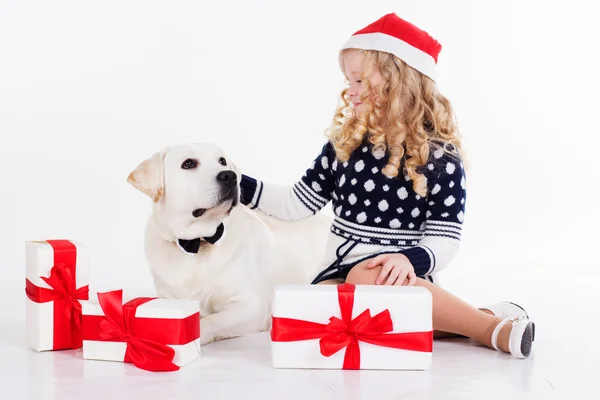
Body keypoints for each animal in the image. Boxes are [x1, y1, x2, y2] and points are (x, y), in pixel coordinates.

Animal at [128, 143, 330, 344]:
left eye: (222, 161)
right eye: (188, 164)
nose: (229, 176)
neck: (197, 243)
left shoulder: (252, 306)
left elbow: (210, 321)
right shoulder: (169, 299)